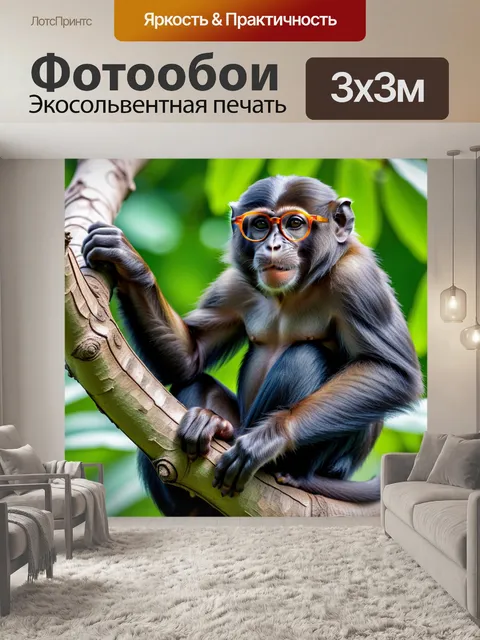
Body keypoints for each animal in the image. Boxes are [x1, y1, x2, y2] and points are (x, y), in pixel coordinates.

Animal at [81, 175, 423, 515]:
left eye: (294, 223)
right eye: (259, 225)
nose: (273, 245)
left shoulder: (359, 281)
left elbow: (390, 371)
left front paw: (270, 437)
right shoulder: (233, 285)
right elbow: (189, 359)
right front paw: (128, 263)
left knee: (305, 356)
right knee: (194, 382)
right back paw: (209, 430)